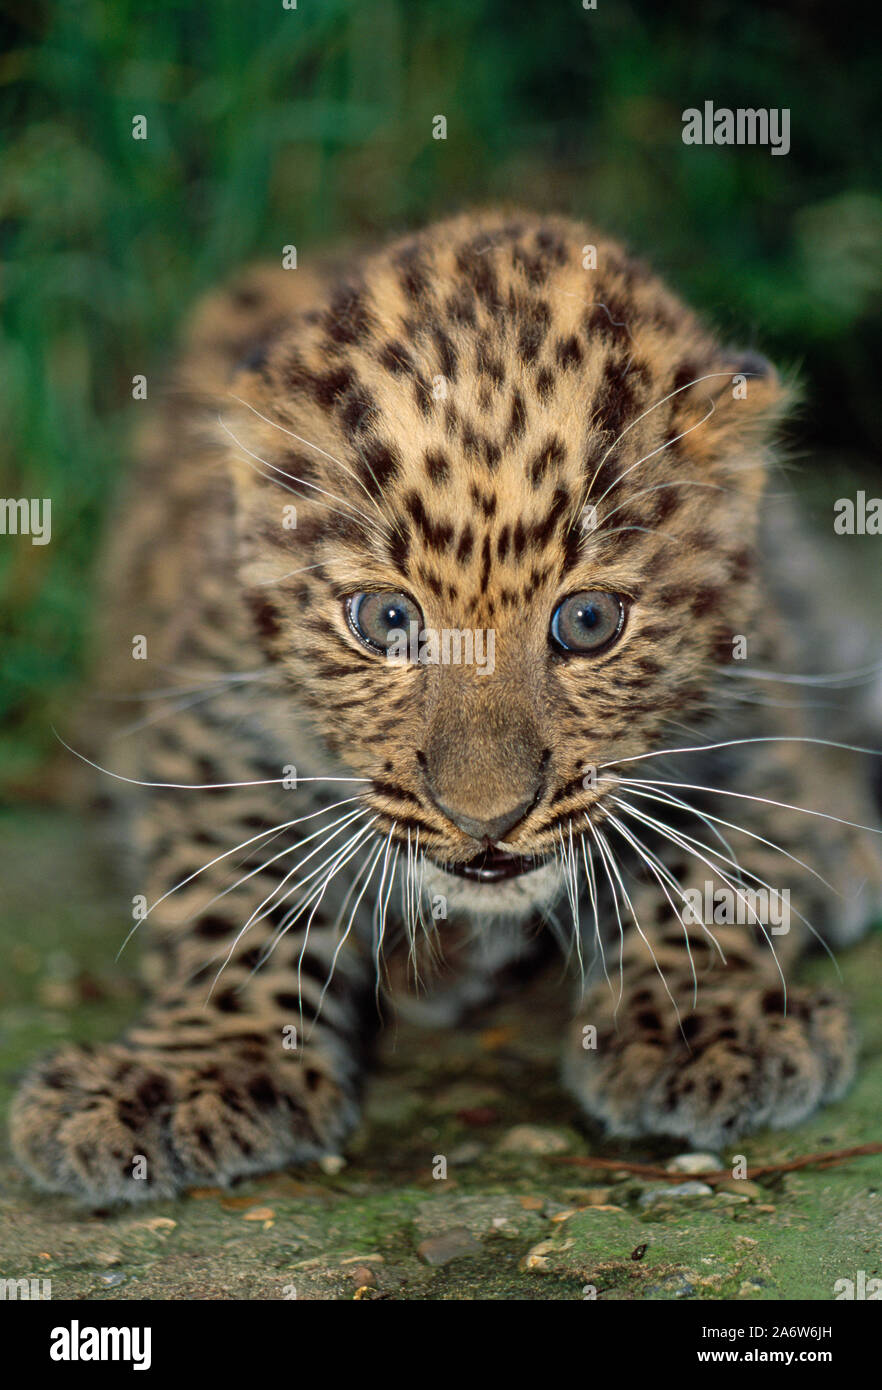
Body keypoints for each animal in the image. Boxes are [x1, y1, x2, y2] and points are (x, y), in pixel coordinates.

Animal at [11, 208, 882, 1204]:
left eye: (589, 621)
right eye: (386, 620)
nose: (487, 819)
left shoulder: (760, 710)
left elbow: (719, 872)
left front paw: (701, 1025)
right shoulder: (216, 721)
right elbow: (238, 899)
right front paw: (189, 1073)